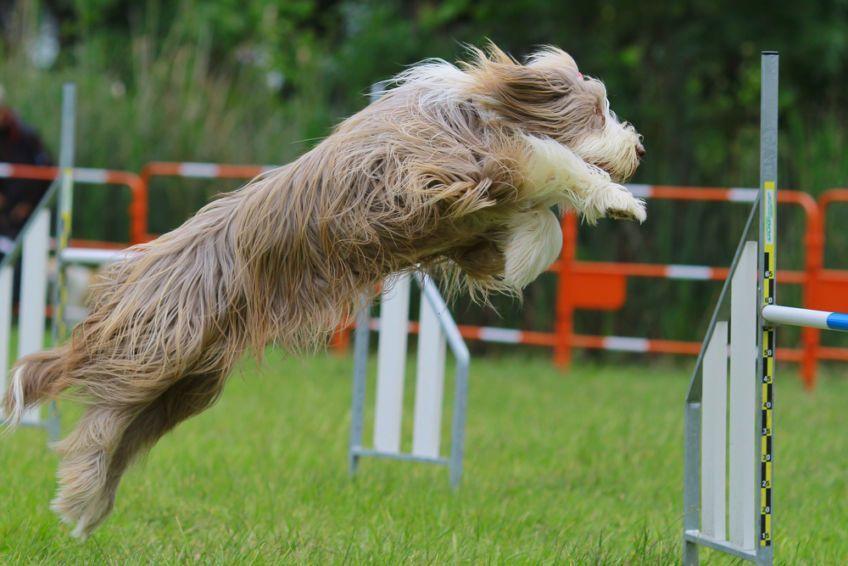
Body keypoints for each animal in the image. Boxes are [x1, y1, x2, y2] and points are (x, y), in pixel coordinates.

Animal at [3, 42, 644, 540]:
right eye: (599, 109)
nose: (638, 149)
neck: (478, 105)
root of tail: (134, 277)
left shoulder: (467, 220)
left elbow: (539, 225)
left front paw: (527, 253)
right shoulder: (441, 170)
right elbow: (544, 159)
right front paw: (617, 199)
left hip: (186, 383)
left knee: (117, 425)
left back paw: (85, 506)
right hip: (159, 346)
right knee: (82, 398)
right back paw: (64, 470)